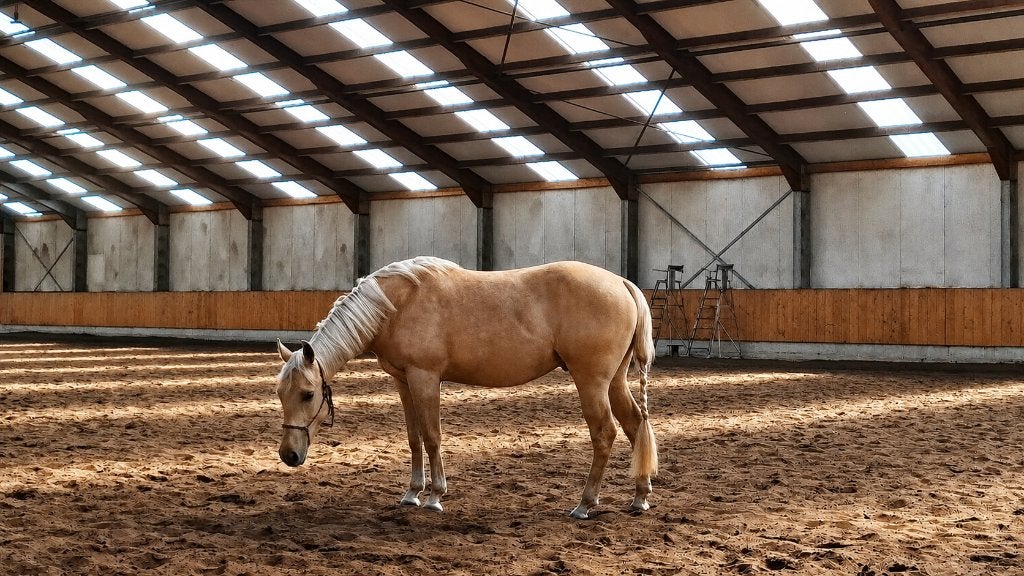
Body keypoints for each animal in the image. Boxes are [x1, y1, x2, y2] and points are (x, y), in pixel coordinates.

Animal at [275, 256, 657, 519]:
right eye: (280, 394)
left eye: (308, 395)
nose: (289, 455)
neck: (396, 304)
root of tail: (622, 283)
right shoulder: (403, 381)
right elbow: (414, 437)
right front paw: (412, 493)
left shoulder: (425, 378)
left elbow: (432, 436)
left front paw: (434, 497)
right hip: (614, 382)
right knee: (634, 425)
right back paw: (639, 497)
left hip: (591, 382)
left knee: (605, 433)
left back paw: (584, 504)